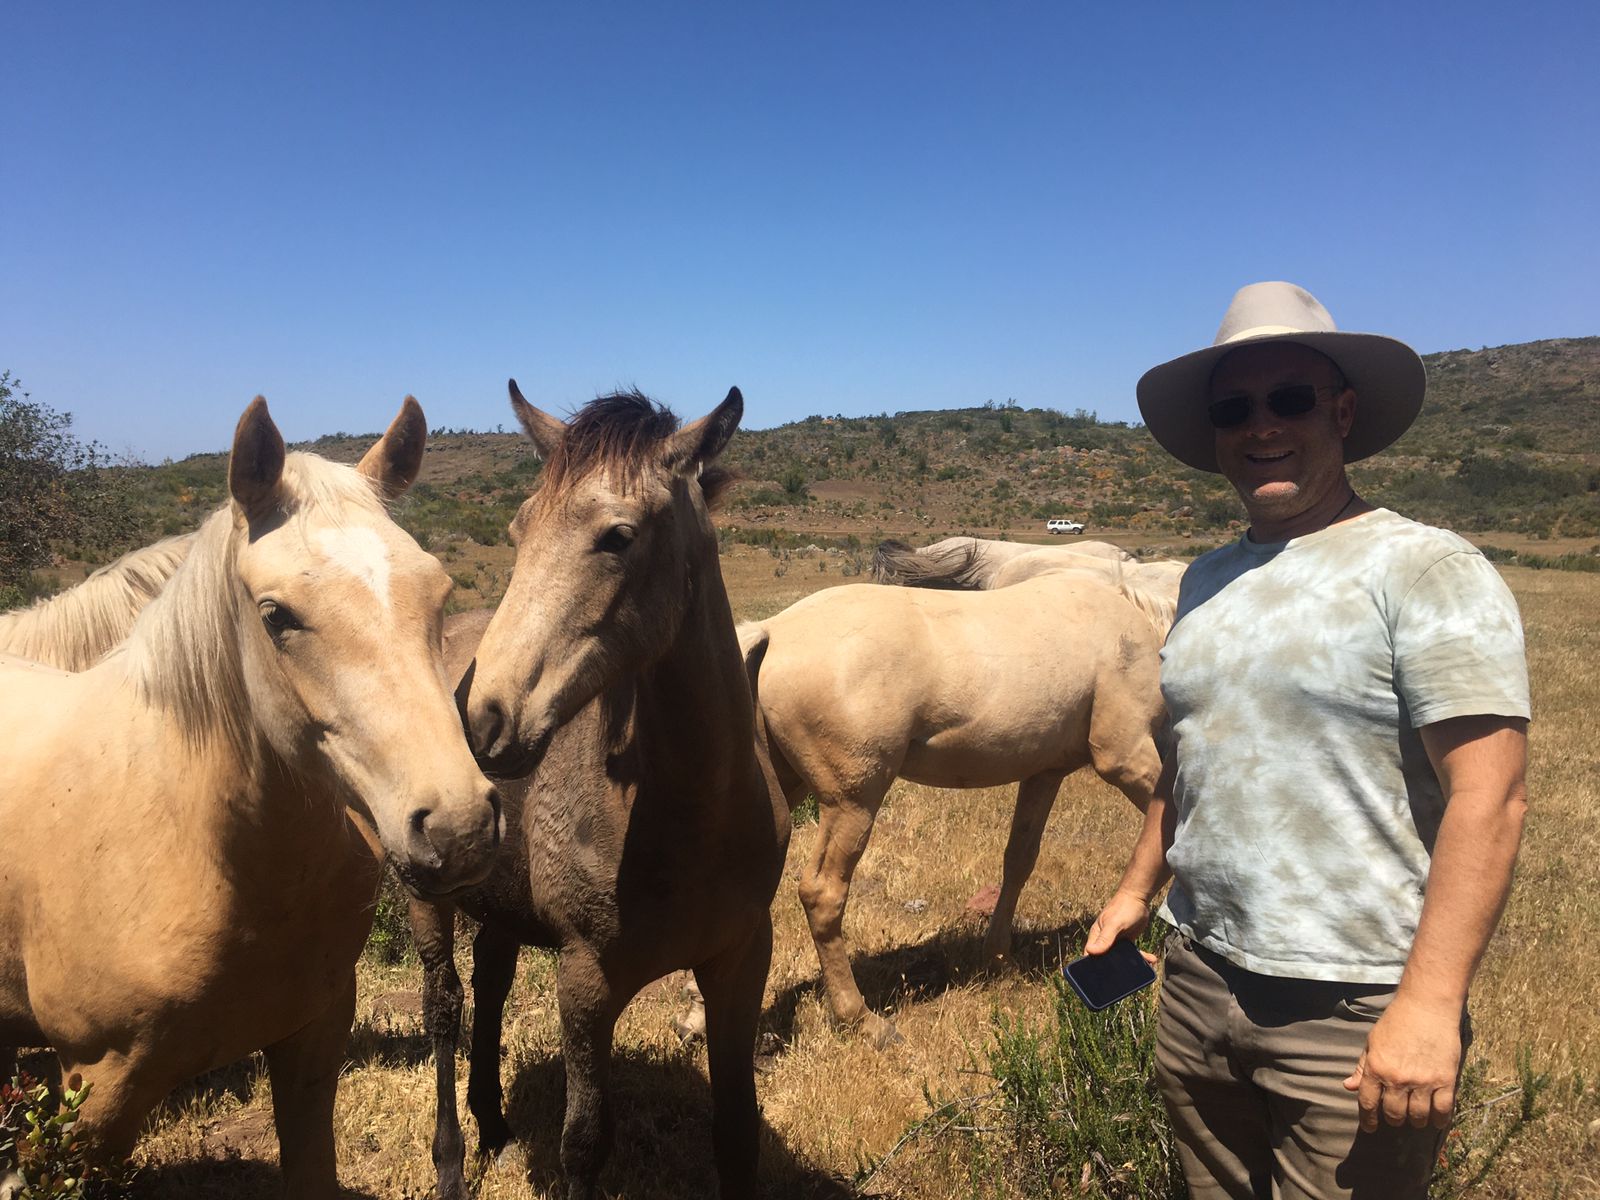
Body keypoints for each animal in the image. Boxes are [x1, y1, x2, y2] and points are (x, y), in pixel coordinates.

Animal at [410, 384, 789, 1200]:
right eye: (518, 530)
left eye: (618, 536)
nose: (479, 721)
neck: (690, 820)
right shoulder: (585, 981)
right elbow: (584, 1142)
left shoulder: (742, 961)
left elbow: (737, 1132)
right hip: (424, 895)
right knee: (444, 1007)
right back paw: (453, 1161)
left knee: (490, 981)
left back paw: (495, 1127)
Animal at [732, 570, 1171, 1047]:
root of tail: (774, 629)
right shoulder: (1127, 759)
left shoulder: (1044, 774)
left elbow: (1019, 860)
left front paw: (999, 960)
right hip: (852, 801)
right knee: (823, 894)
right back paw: (860, 1018)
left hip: (786, 787)